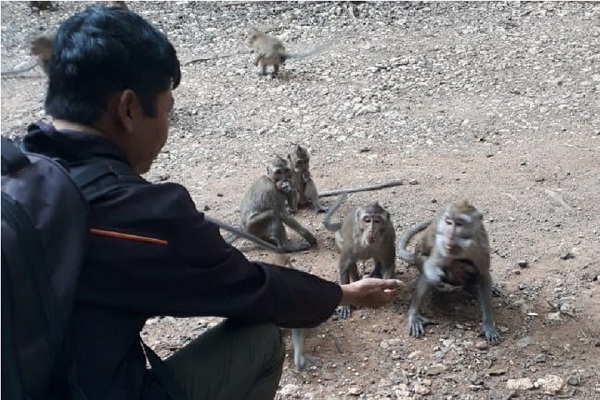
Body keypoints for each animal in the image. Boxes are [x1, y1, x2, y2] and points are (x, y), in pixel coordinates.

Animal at [398, 200, 502, 344]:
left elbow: (484, 275)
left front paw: (488, 324)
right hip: (419, 259)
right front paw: (414, 314)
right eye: (449, 222)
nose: (450, 236)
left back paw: (472, 288)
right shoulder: (441, 245)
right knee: (449, 266)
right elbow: (431, 271)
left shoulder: (481, 244)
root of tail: (413, 255)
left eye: (459, 224)